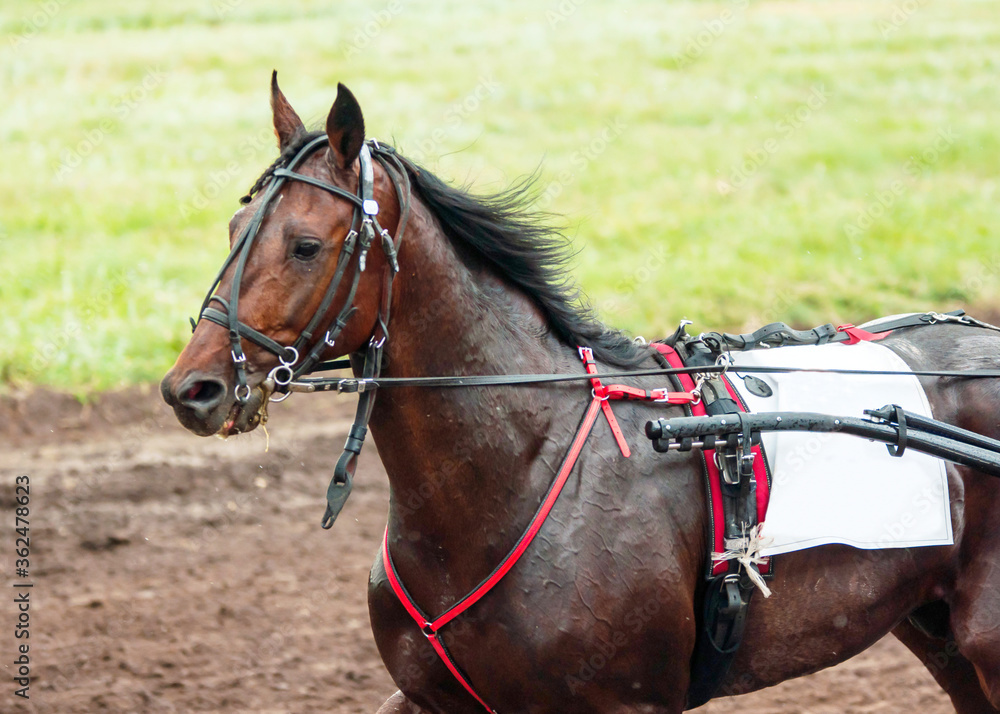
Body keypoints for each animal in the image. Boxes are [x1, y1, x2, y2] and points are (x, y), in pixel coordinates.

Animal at [160, 75, 1000, 713]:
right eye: (235, 226)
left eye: (305, 244)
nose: (191, 387)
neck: (517, 470)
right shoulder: (432, 696)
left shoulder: (626, 702)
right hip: (938, 632)